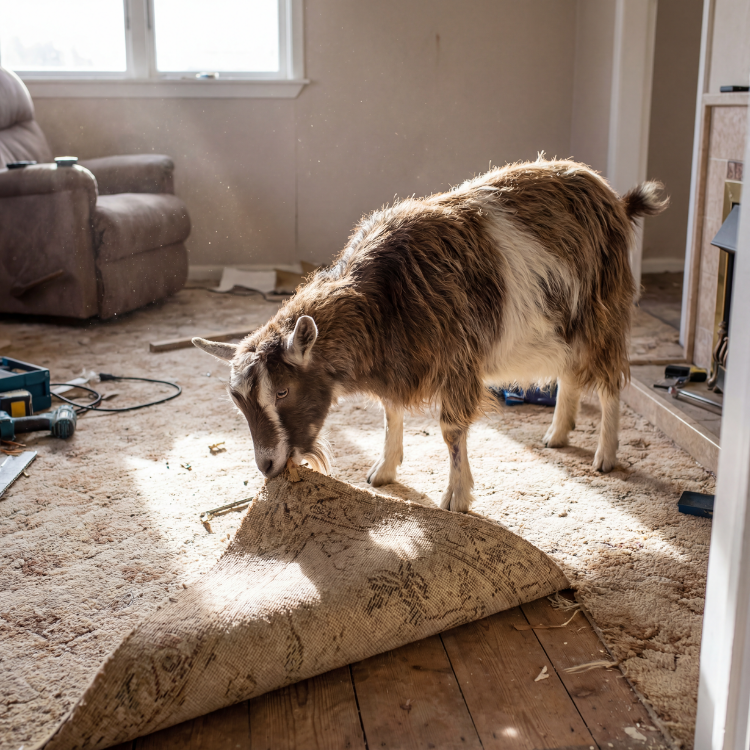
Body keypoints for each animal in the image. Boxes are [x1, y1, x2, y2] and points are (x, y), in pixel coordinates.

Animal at [194, 158, 667, 512]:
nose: (267, 464)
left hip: (603, 312)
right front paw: (384, 471)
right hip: (566, 323)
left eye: (284, 391)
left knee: (608, 380)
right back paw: (559, 433)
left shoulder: (457, 361)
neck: (382, 297)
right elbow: (390, 413)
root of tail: (615, 199)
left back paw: (606, 455)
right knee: (570, 371)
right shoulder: (398, 363)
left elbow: (451, 430)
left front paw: (456, 497)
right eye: (238, 402)